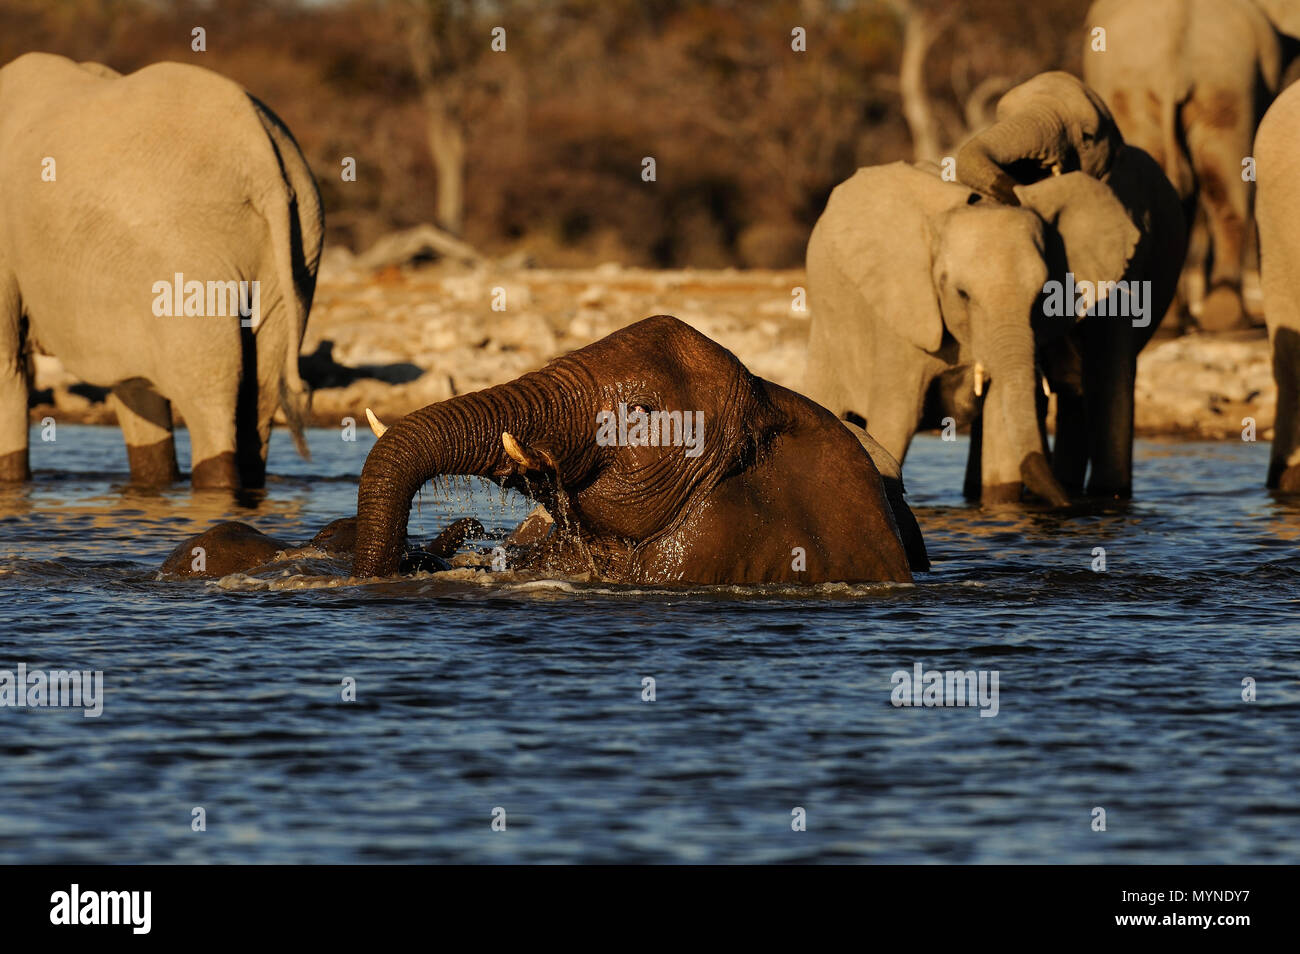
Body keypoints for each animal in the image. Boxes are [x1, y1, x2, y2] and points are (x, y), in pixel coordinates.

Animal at [0, 53, 324, 488]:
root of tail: (263, 159)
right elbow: (135, 388)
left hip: (187, 252)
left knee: (211, 394)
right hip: (299, 243)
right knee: (261, 392)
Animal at [803, 156, 1185, 505]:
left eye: (1045, 294)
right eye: (961, 294)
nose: (1070, 505)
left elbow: (1000, 445)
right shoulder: (901, 319)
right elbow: (897, 421)